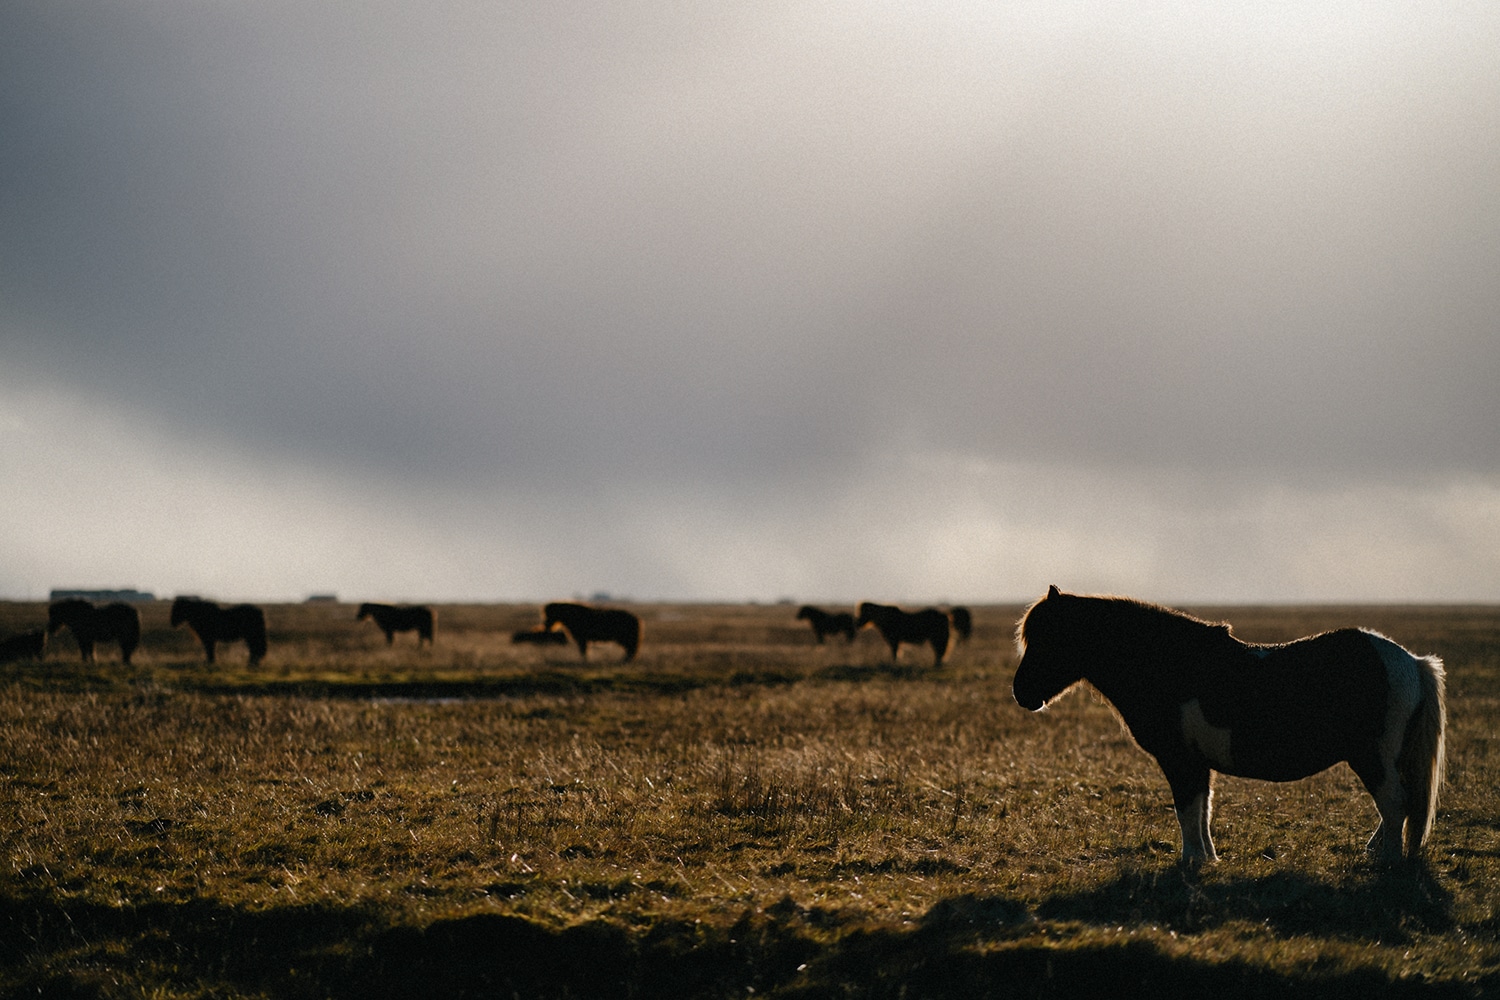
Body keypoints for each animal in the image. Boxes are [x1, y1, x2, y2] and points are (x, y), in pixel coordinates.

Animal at [1014, 587, 1446, 869]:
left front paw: (1190, 862)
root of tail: (1412, 662)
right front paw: (1208, 858)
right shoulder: (1197, 763)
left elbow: (1187, 811)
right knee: (1398, 805)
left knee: (1394, 803)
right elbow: (1202, 810)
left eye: (1049, 639)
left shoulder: (1179, 761)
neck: (1167, 665)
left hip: (1372, 757)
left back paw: (1388, 863)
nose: (1021, 693)